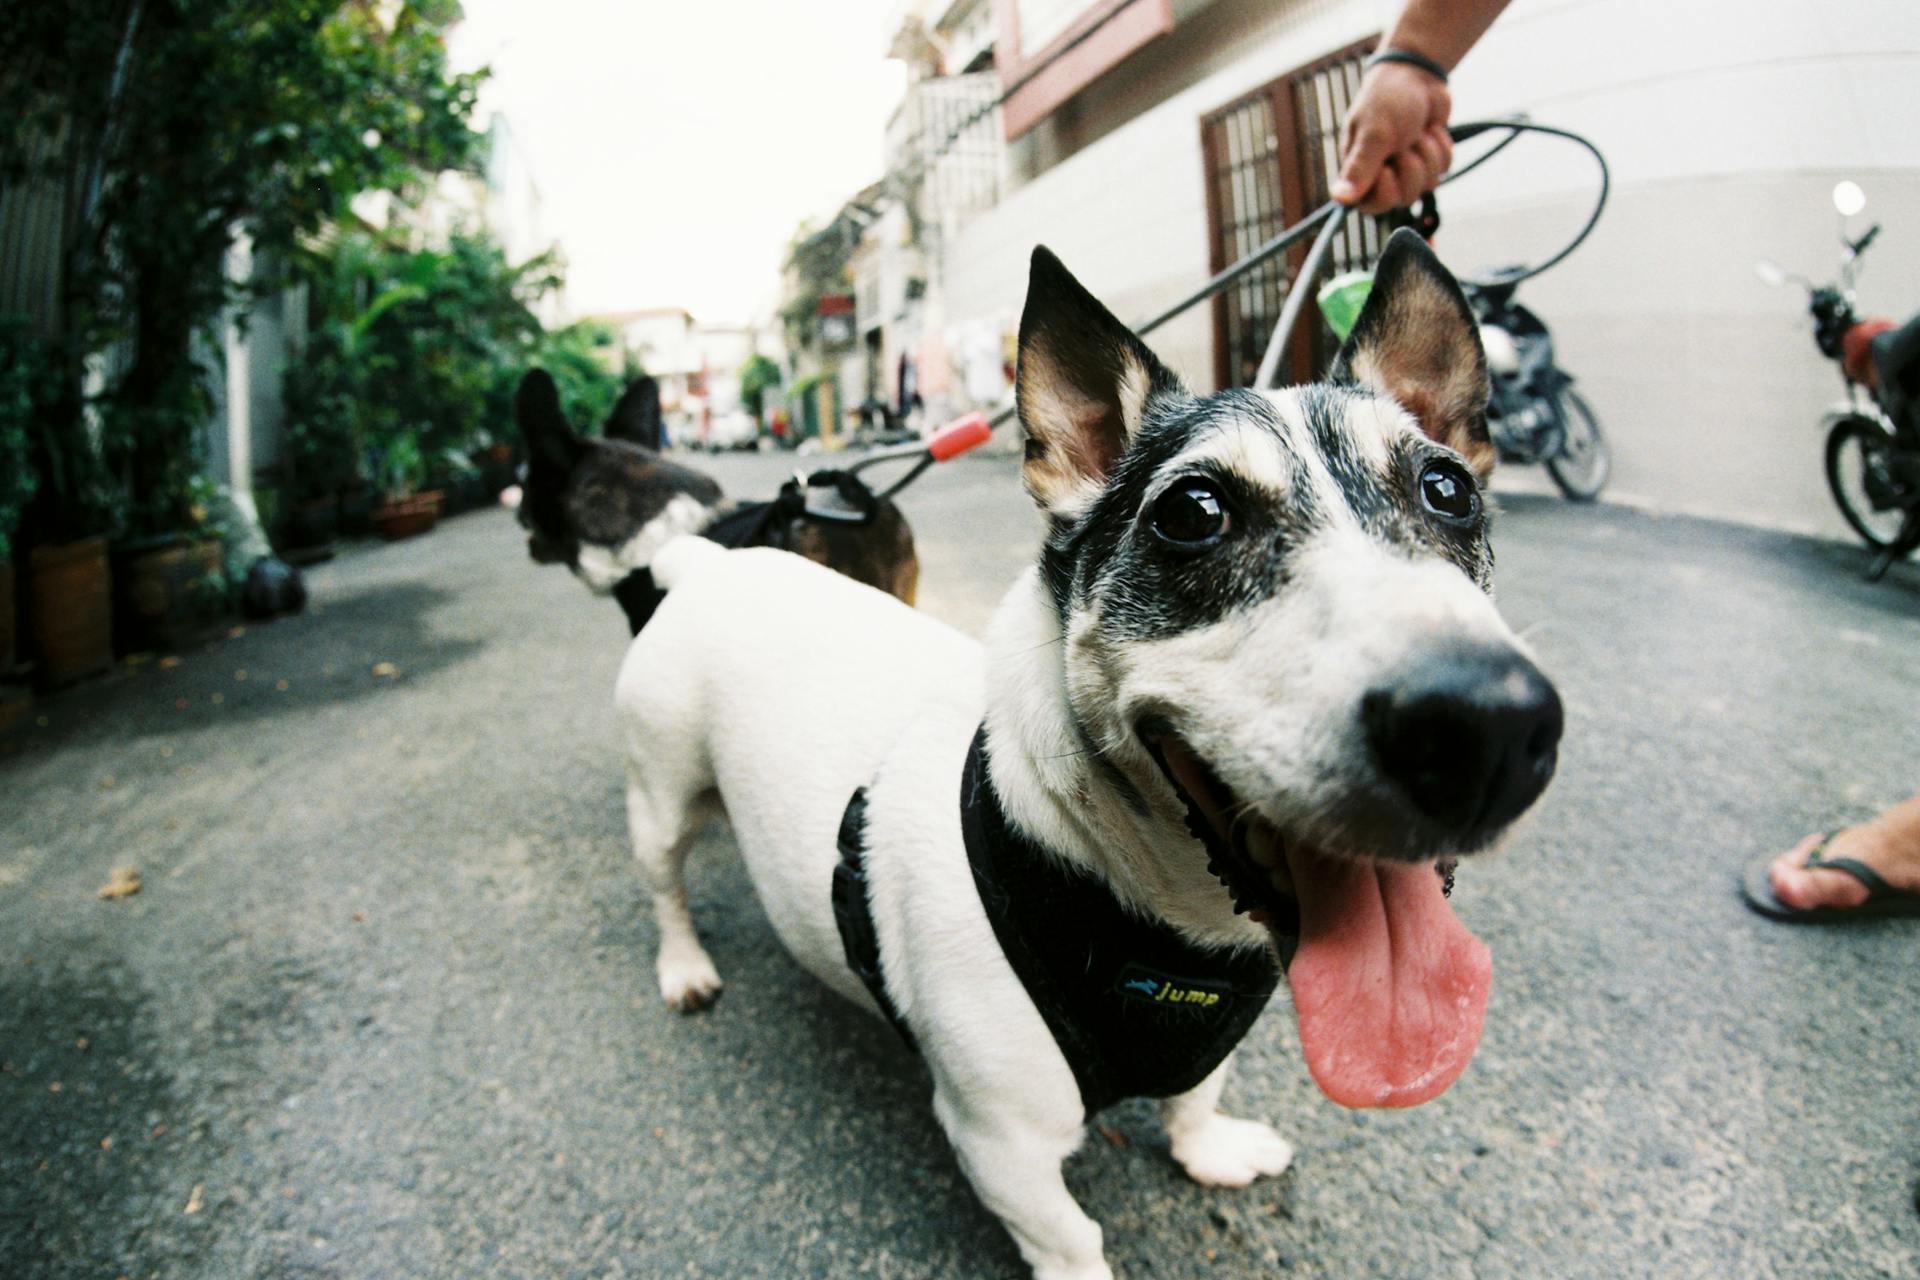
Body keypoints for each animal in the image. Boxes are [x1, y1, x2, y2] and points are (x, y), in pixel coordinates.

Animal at [614, 233, 1559, 1280]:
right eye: (1192, 513)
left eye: (1450, 490)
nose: (1489, 726)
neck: (1145, 913)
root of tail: (712, 564)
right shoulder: (1003, 1146)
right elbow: (1071, 1240)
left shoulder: (1200, 1046)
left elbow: (1196, 1096)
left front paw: (1207, 1148)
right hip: (660, 794)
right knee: (665, 884)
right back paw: (684, 966)